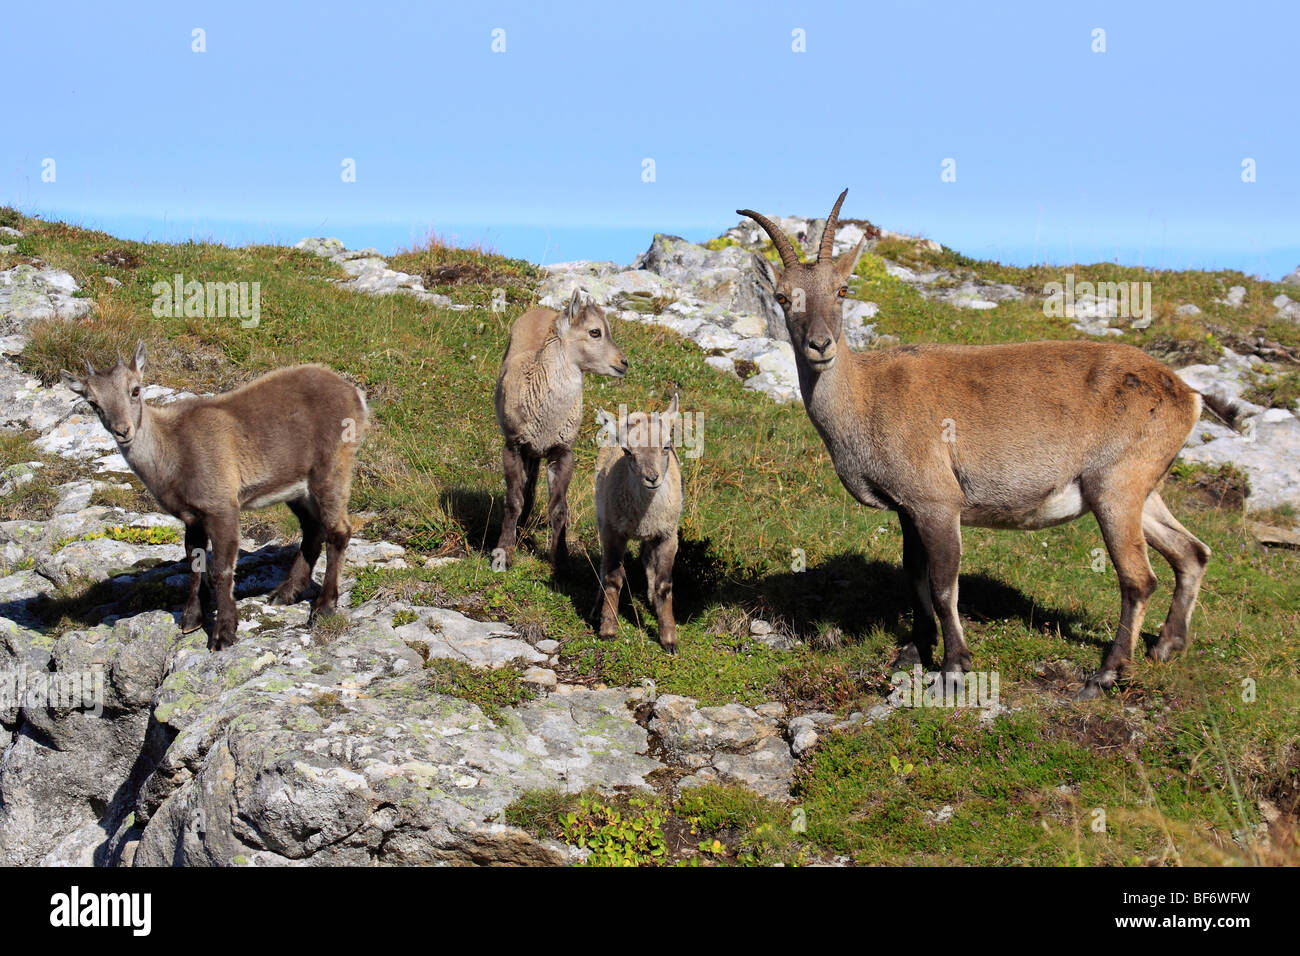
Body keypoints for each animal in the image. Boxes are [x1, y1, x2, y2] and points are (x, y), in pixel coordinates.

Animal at [60, 342, 369, 651]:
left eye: (135, 390)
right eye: (93, 403)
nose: (123, 430)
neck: (172, 451)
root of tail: (353, 393)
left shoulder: (221, 506)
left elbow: (220, 569)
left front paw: (223, 632)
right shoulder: (192, 516)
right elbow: (194, 561)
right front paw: (192, 618)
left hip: (331, 467)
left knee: (338, 530)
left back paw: (324, 606)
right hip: (296, 486)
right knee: (312, 528)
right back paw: (285, 593)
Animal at [494, 288, 627, 568]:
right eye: (595, 331)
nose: (623, 363)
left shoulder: (562, 451)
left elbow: (559, 508)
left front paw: (561, 559)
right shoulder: (513, 445)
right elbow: (513, 501)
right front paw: (504, 553)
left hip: (536, 453)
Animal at [593, 395, 683, 652]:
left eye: (666, 446)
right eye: (627, 451)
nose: (652, 478)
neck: (644, 516)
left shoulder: (668, 534)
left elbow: (664, 584)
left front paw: (669, 639)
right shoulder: (615, 531)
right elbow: (614, 578)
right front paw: (608, 628)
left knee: (647, 560)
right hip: (603, 517)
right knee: (604, 564)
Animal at [738, 191, 1210, 699]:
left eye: (843, 289)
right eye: (783, 297)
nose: (820, 345)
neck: (866, 396)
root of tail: (1187, 395)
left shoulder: (939, 500)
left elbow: (944, 584)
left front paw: (954, 667)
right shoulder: (908, 508)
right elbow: (914, 575)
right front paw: (914, 650)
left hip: (1115, 487)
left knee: (1138, 579)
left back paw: (1105, 673)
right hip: (1143, 487)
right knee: (1191, 551)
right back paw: (1167, 645)